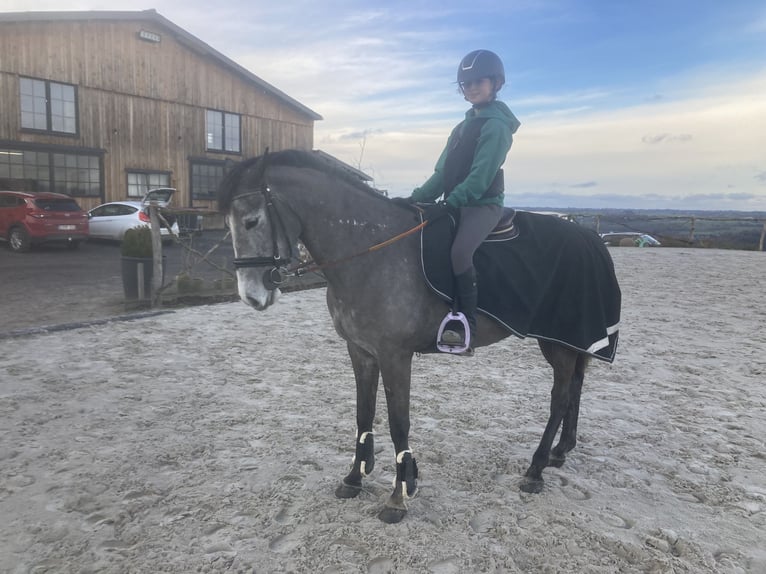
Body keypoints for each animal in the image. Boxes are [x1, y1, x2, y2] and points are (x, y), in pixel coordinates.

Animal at [219, 150, 620, 528]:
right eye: (229, 225)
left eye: (252, 221)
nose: (251, 296)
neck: (370, 251)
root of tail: (588, 237)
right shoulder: (360, 350)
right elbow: (363, 415)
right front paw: (355, 478)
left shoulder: (395, 355)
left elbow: (399, 422)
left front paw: (399, 495)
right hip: (569, 341)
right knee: (576, 387)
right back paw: (560, 451)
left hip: (557, 342)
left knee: (560, 397)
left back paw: (536, 469)